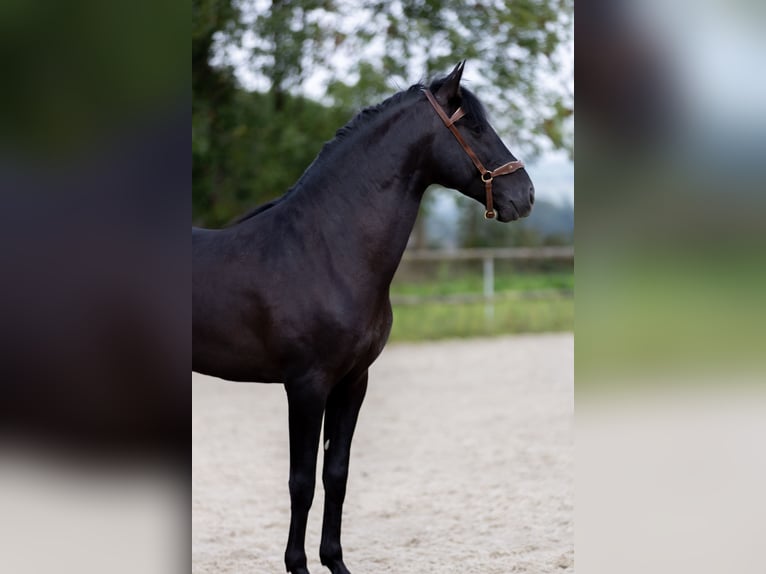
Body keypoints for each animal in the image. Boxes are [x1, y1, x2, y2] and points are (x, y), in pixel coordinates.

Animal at [192, 61, 535, 574]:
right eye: (474, 126)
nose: (525, 195)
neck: (326, 252)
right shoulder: (307, 385)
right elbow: (301, 481)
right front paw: (297, 565)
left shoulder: (353, 381)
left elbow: (336, 473)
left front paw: (335, 562)